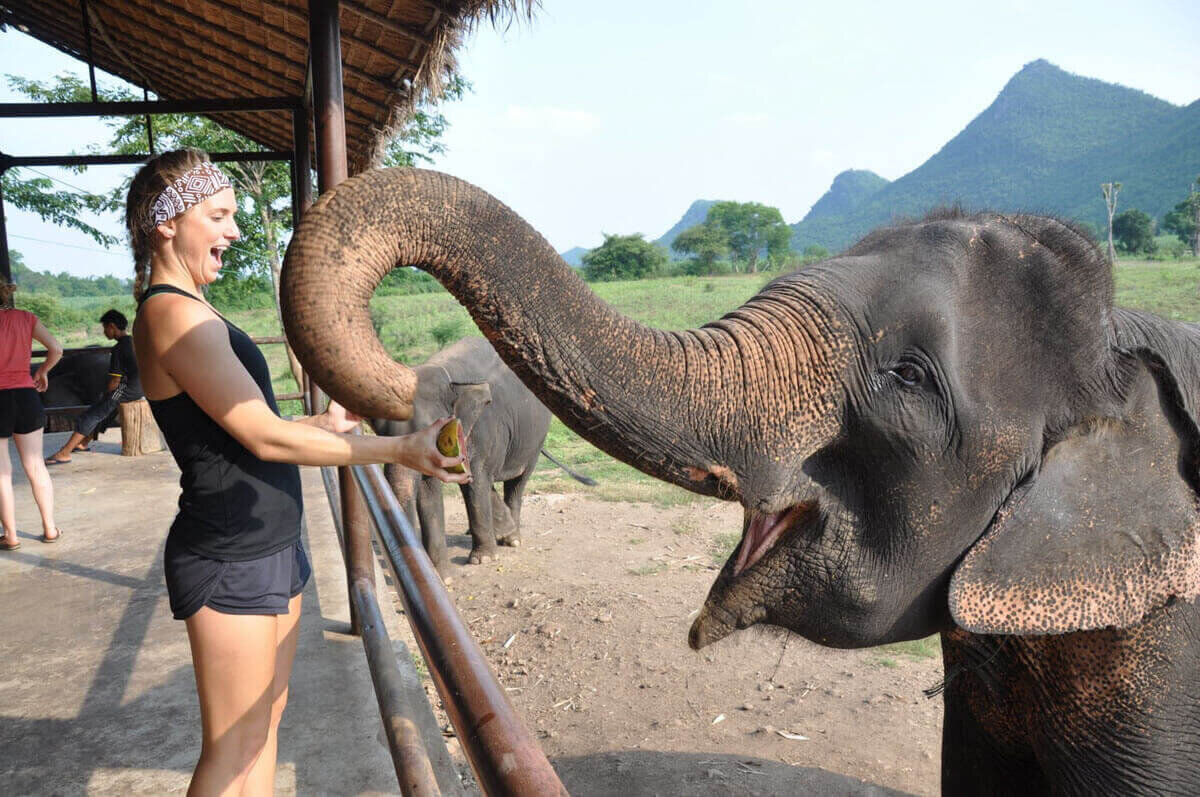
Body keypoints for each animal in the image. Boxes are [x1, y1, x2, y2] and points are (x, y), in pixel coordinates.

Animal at [364, 336, 590, 578]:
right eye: (380, 434)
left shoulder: (483, 427)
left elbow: (476, 478)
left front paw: (482, 559)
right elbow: (429, 490)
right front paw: (444, 577)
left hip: (535, 439)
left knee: (517, 483)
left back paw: (512, 539)